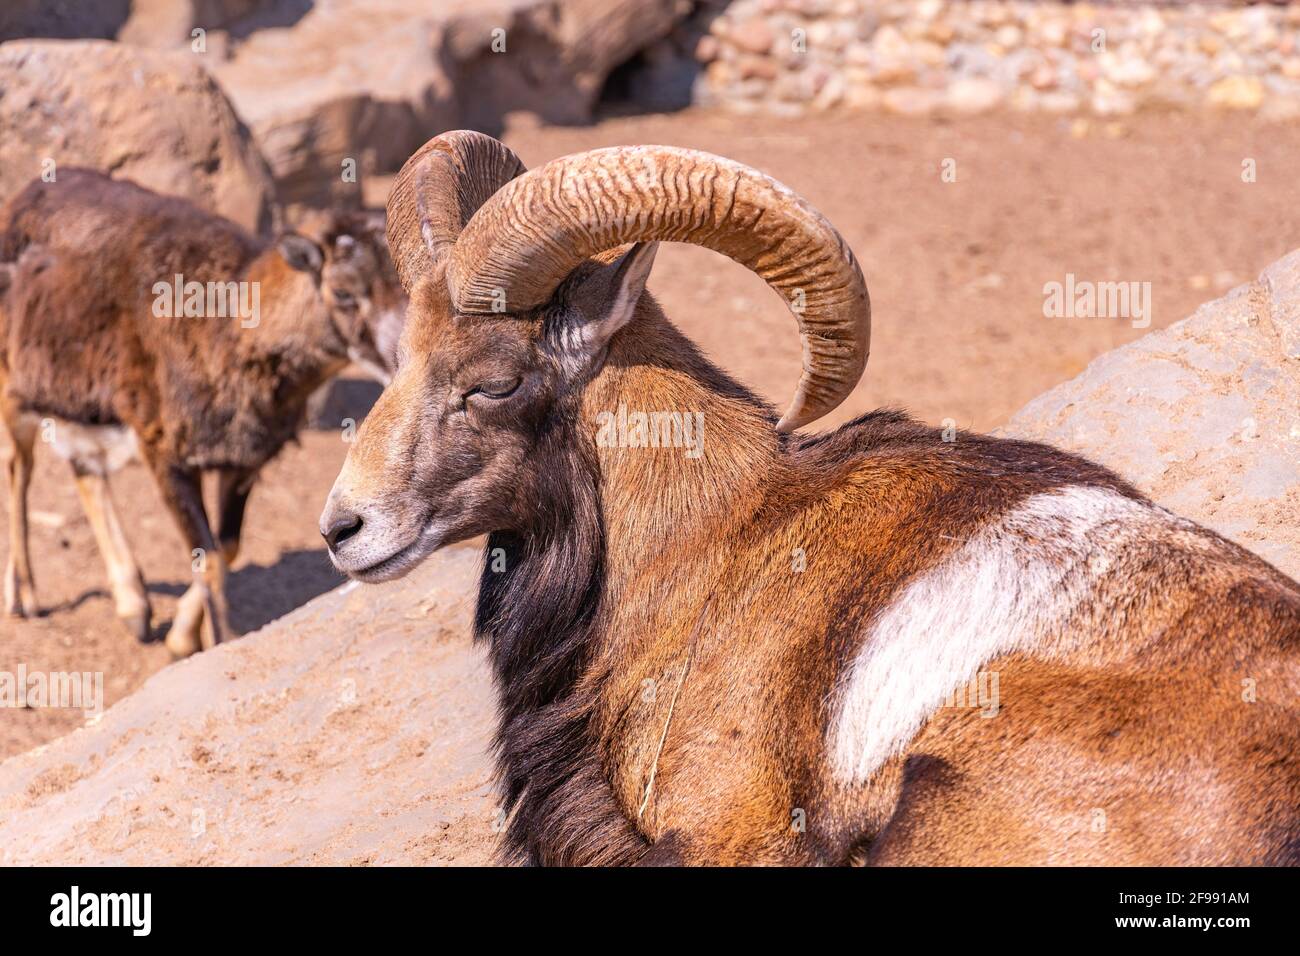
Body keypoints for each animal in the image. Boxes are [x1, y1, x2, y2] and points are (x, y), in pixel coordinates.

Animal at [0, 169, 405, 657]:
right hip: (14, 388)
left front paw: (180, 637)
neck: (225, 334)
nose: (399, 356)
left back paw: (134, 608)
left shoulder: (244, 462)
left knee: (84, 469)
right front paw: (214, 641)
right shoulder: (165, 455)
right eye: (343, 292)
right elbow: (207, 556)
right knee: (19, 469)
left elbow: (227, 548)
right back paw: (23, 596)